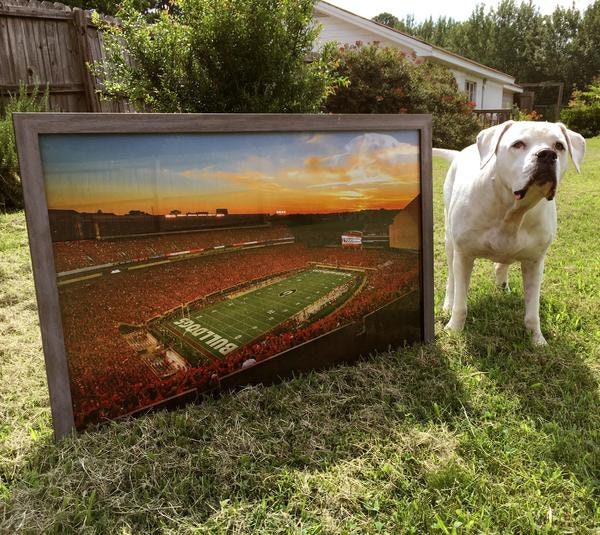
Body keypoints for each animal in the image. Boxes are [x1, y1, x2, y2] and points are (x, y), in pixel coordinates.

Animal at [436, 120, 584, 348]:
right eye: (518, 144)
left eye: (559, 146)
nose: (547, 154)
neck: (513, 208)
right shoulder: (464, 255)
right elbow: (461, 302)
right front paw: (454, 329)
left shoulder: (534, 262)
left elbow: (532, 310)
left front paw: (537, 340)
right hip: (450, 243)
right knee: (452, 278)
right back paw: (448, 303)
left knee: (501, 265)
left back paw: (503, 288)